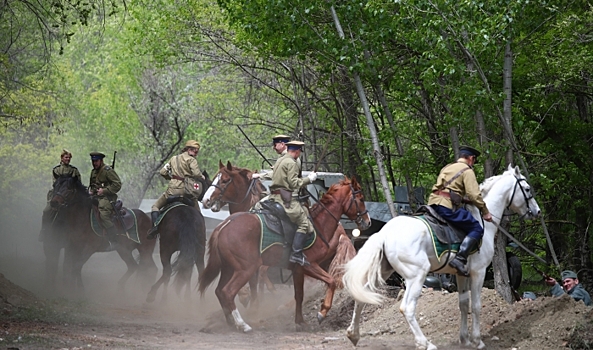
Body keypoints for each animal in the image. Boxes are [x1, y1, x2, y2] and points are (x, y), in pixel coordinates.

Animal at [197, 174, 370, 332]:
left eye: (224, 180)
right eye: (361, 199)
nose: (367, 222)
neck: (319, 224)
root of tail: (224, 225)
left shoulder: (298, 270)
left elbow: (299, 295)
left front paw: (300, 322)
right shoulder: (309, 265)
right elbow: (331, 281)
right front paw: (322, 312)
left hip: (228, 268)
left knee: (220, 291)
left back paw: (231, 323)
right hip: (245, 269)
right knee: (227, 292)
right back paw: (242, 324)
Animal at [342, 165, 540, 350]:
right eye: (527, 189)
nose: (537, 211)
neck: (483, 221)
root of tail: (384, 233)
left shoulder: (461, 274)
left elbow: (463, 304)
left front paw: (465, 339)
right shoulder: (479, 272)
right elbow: (476, 305)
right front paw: (477, 340)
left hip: (384, 272)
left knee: (361, 297)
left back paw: (353, 334)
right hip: (416, 276)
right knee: (407, 308)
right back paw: (425, 343)